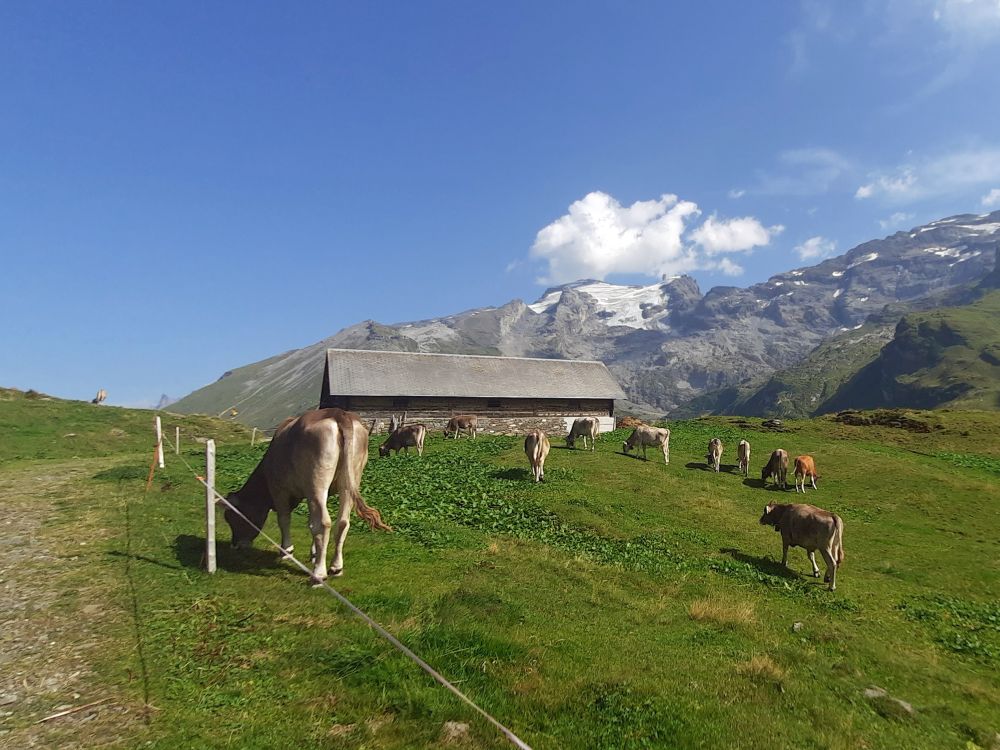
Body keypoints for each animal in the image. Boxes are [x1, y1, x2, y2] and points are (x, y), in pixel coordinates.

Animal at [223, 408, 390, 584]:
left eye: (233, 517)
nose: (235, 545)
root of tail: (338, 413)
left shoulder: (279, 490)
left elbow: (284, 519)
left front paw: (286, 551)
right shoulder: (312, 495)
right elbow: (310, 521)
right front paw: (314, 553)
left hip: (317, 479)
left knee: (323, 523)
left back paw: (318, 574)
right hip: (349, 481)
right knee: (342, 522)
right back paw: (336, 567)